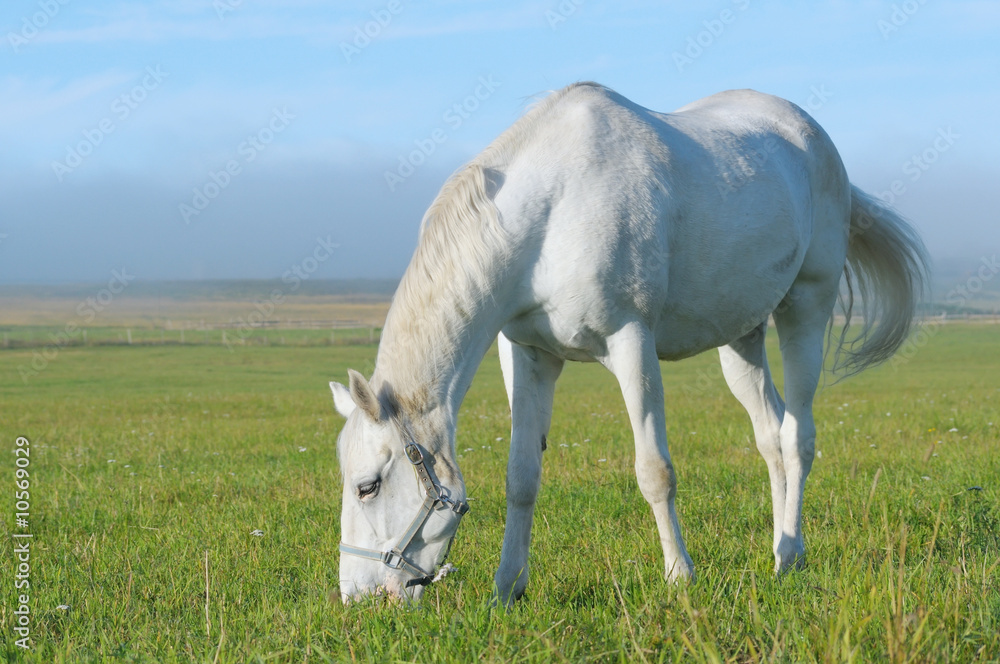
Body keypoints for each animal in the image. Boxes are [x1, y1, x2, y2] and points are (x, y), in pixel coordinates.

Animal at [330, 82, 928, 605]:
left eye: (367, 486)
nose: (357, 597)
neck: (550, 212)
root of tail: (809, 134)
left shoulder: (630, 341)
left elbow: (654, 471)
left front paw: (680, 576)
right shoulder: (529, 357)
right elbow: (522, 478)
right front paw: (508, 588)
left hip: (806, 307)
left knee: (797, 435)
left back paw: (788, 556)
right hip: (741, 338)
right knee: (770, 435)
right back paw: (784, 547)